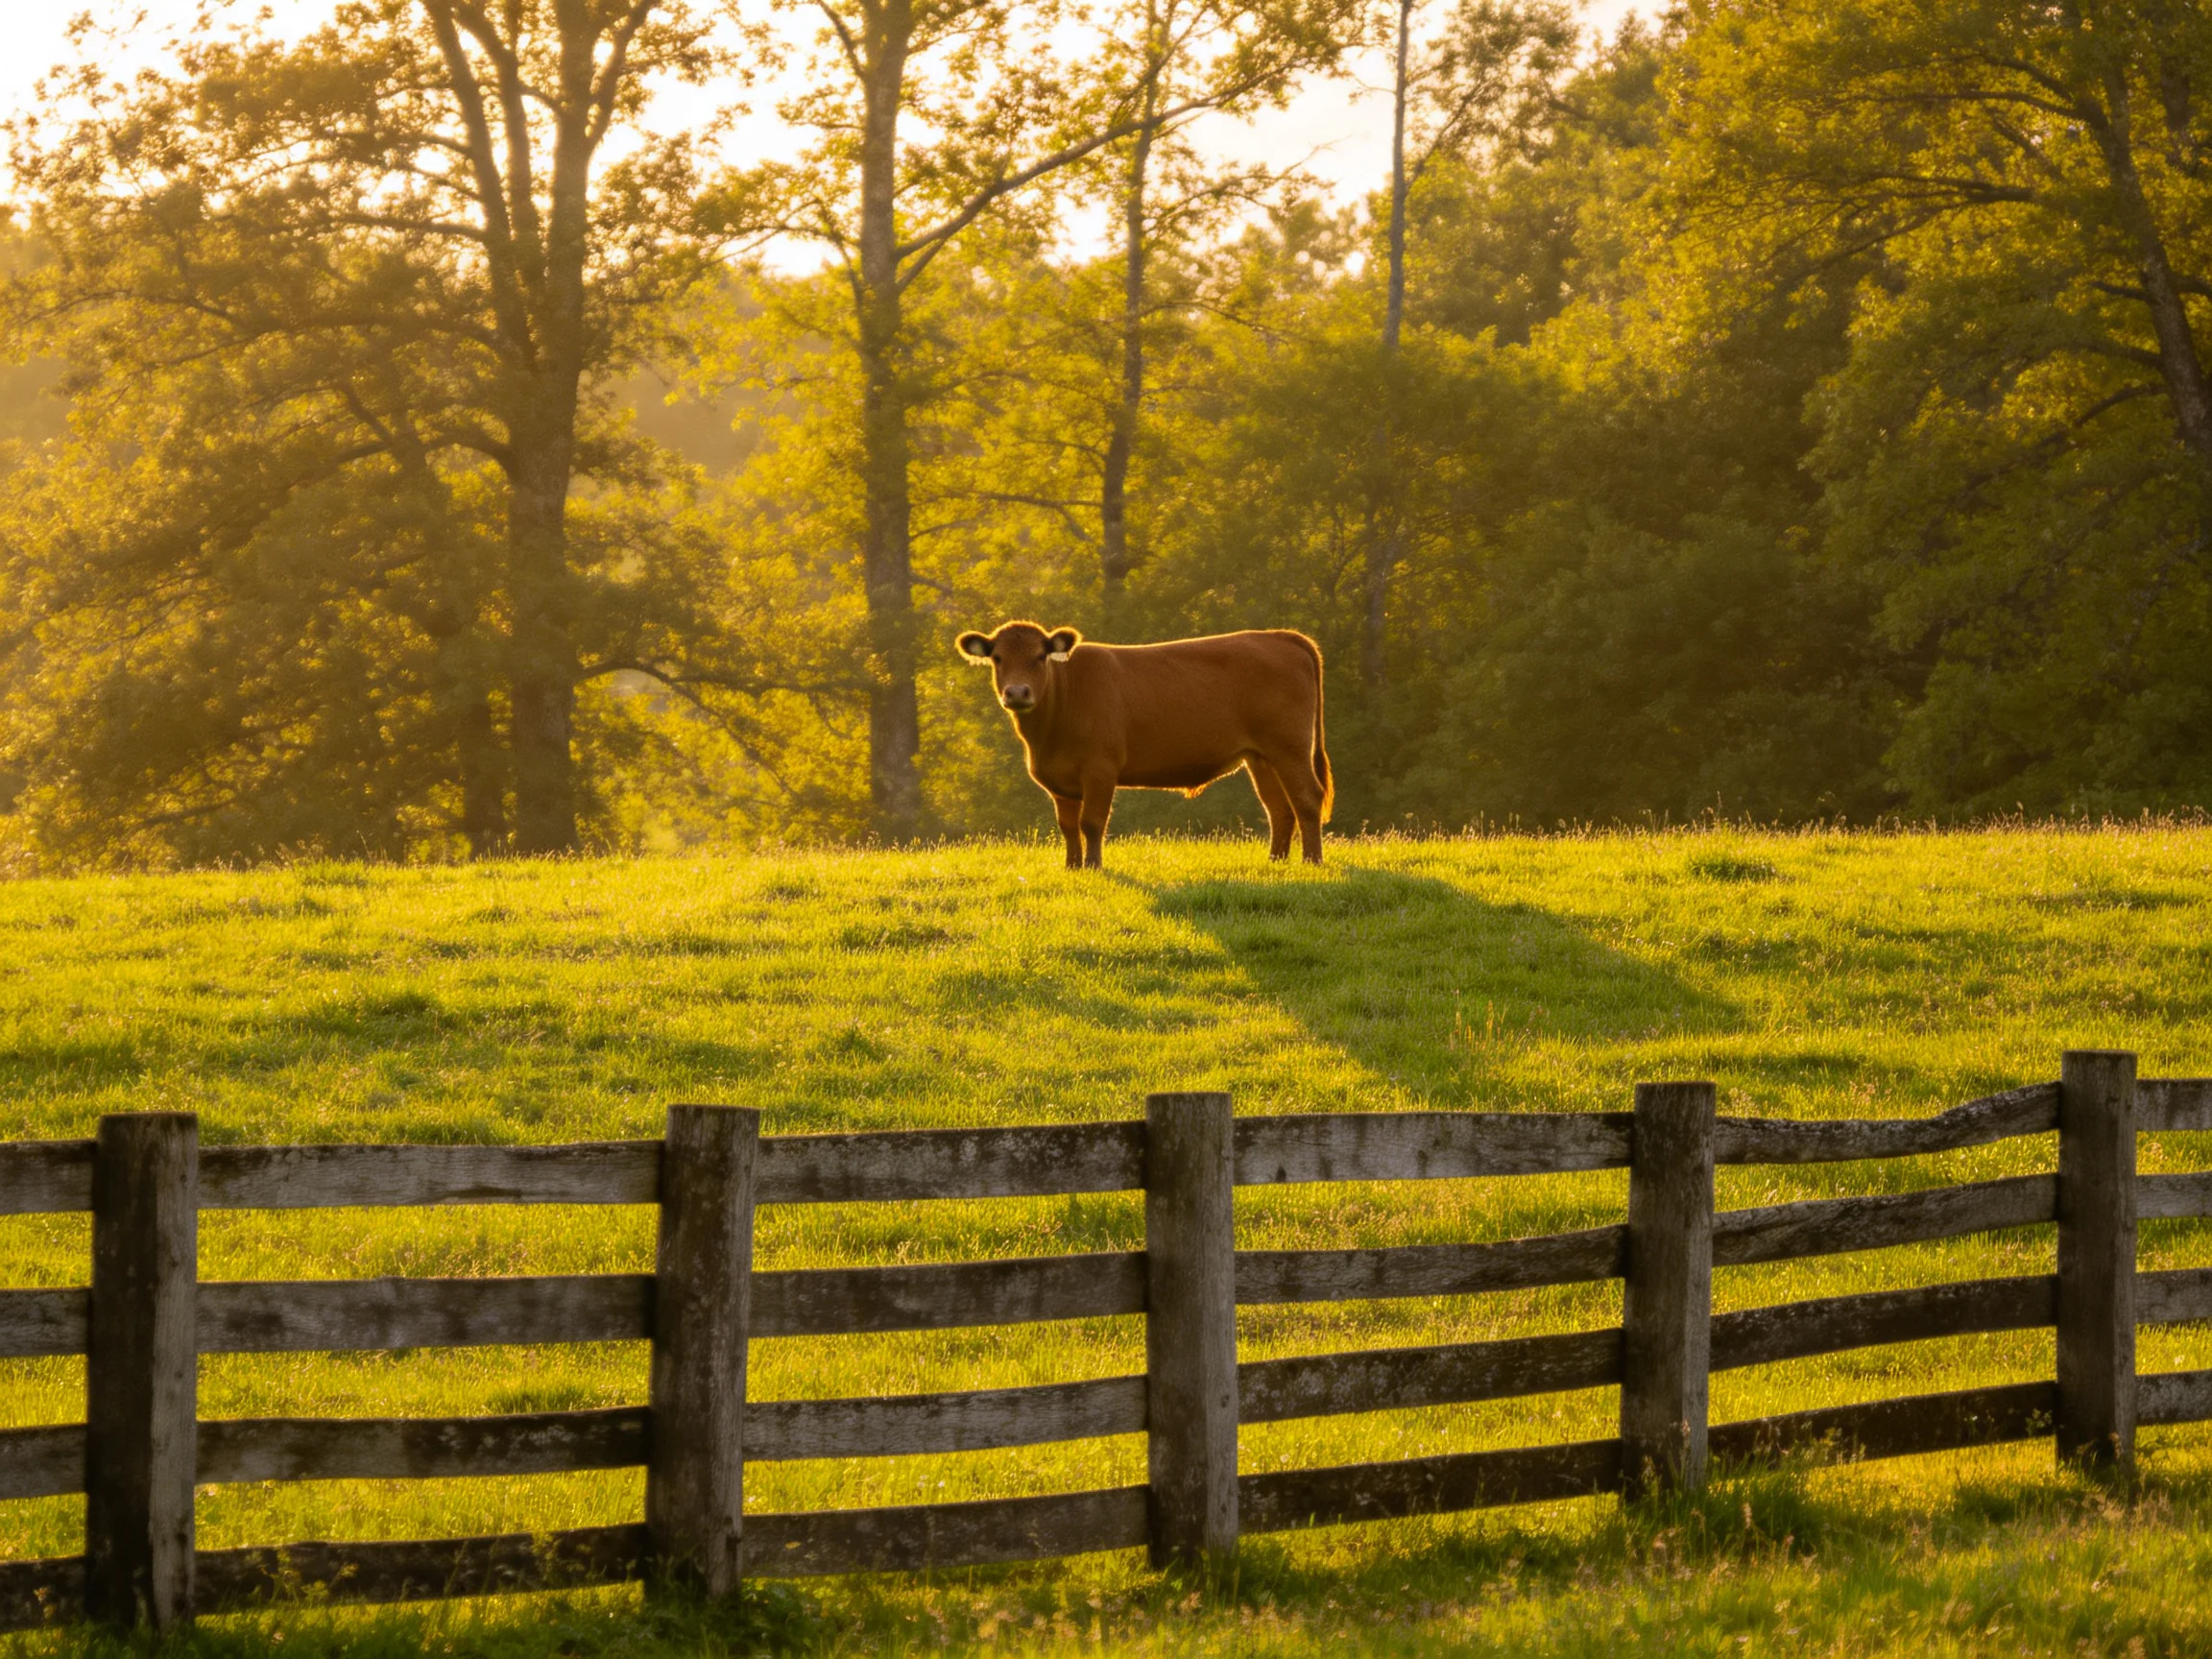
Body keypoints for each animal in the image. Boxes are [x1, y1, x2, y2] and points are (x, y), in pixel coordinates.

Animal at [955, 620, 1332, 870]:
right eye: (997, 658)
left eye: (1039, 656)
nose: (1017, 692)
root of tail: (1279, 636)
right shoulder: (1059, 781)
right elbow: (1068, 826)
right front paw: (1072, 866)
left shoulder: (1100, 770)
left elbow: (1092, 822)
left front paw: (1093, 867)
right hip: (1261, 757)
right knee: (1278, 808)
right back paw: (1276, 861)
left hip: (1290, 748)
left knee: (1306, 798)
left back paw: (1311, 861)